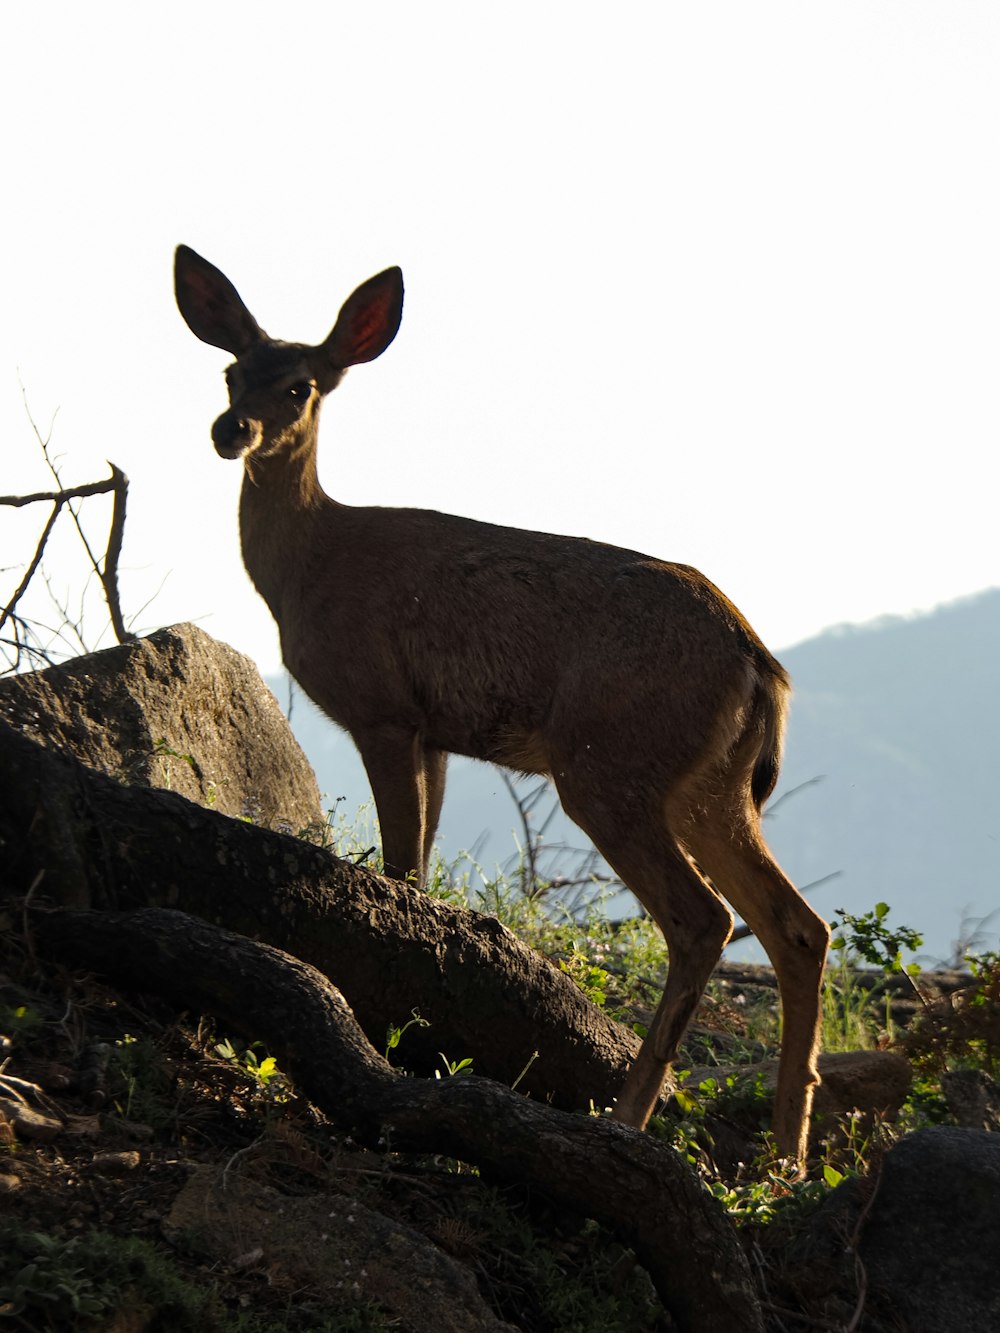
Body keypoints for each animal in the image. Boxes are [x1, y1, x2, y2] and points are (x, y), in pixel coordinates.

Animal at [178, 245, 832, 1162]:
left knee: (704, 919)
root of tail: (759, 662)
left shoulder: (383, 708)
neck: (308, 568)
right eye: (232, 371)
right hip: (713, 785)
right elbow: (418, 867)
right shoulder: (435, 734)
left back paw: (628, 1117)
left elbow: (400, 866)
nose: (230, 429)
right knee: (798, 927)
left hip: (610, 760)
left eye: (302, 385)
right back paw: (785, 1159)